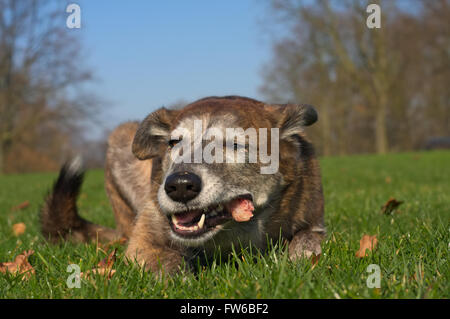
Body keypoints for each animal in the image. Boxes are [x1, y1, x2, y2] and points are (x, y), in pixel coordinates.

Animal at [40, 96, 326, 274]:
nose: (179, 186)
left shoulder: (314, 223)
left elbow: (307, 242)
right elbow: (165, 262)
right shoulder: (144, 242)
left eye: (234, 145)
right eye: (173, 142)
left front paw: (299, 260)